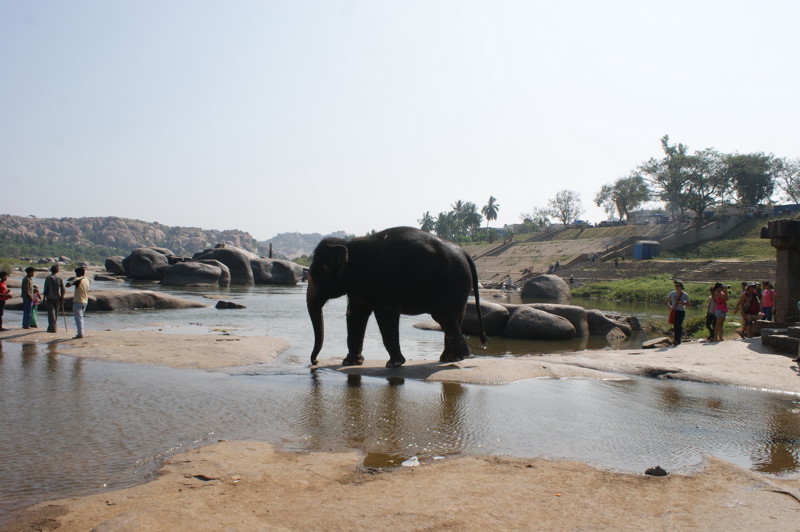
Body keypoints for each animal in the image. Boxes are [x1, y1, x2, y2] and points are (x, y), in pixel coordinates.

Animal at [308, 227, 488, 368]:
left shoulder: (380, 281)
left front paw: (393, 364)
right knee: (455, 318)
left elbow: (385, 314)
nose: (315, 362)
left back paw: (460, 356)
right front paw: (350, 363)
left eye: (318, 272)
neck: (348, 244)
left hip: (451, 283)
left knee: (444, 318)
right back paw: (449, 359)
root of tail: (465, 253)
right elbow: (355, 314)